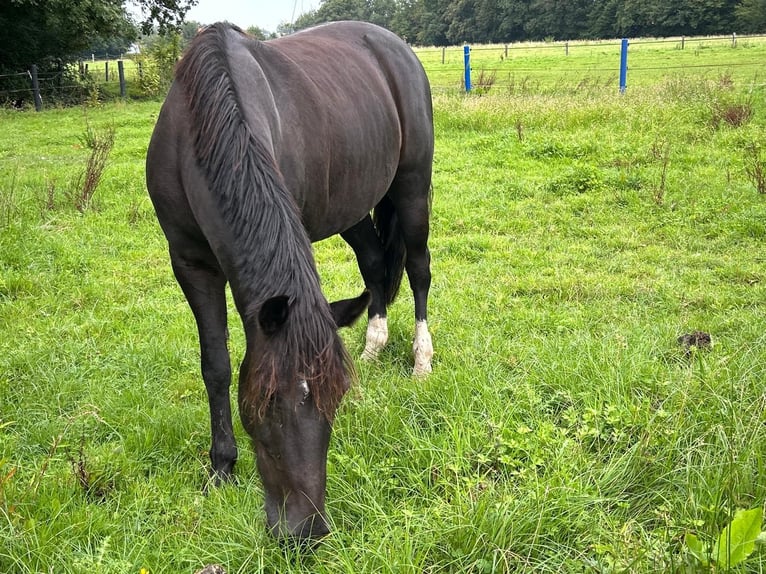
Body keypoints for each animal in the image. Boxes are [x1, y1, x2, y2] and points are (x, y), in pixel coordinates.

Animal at [147, 21, 436, 544]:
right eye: (268, 403)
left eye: (332, 400)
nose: (306, 531)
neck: (200, 126)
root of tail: (396, 46)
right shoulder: (190, 264)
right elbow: (215, 364)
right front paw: (221, 468)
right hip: (352, 206)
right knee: (374, 266)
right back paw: (373, 346)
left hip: (411, 186)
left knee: (419, 269)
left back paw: (421, 359)